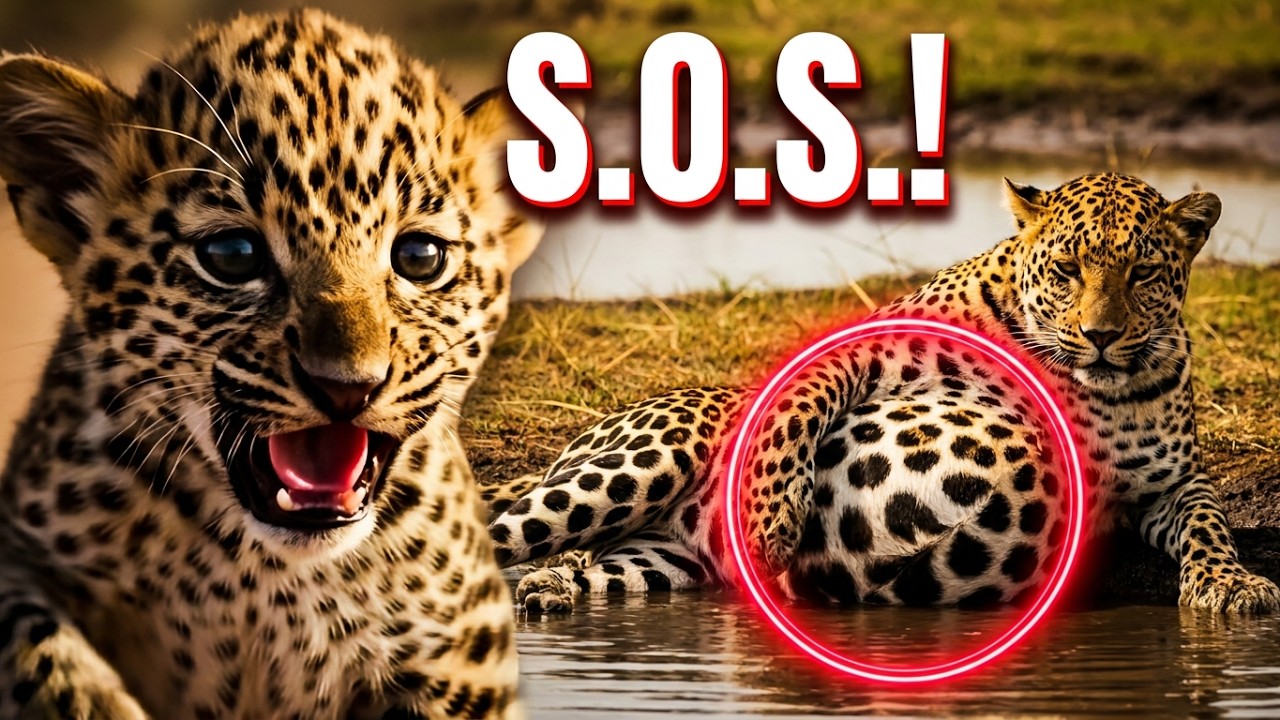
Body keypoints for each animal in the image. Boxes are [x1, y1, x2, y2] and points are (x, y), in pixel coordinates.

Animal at [0, 9, 544, 719]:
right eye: (232, 255)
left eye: (420, 257)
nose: (348, 388)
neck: (265, 581)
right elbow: (37, 642)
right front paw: (94, 702)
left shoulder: (463, 643)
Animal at [486, 173, 1280, 616]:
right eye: (1066, 269)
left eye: (1143, 272)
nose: (1102, 335)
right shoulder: (865, 343)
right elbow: (805, 394)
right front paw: (773, 513)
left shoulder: (1170, 484)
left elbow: (1209, 523)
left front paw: (1233, 584)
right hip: (639, 464)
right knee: (490, 536)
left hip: (659, 559)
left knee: (580, 563)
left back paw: (554, 587)